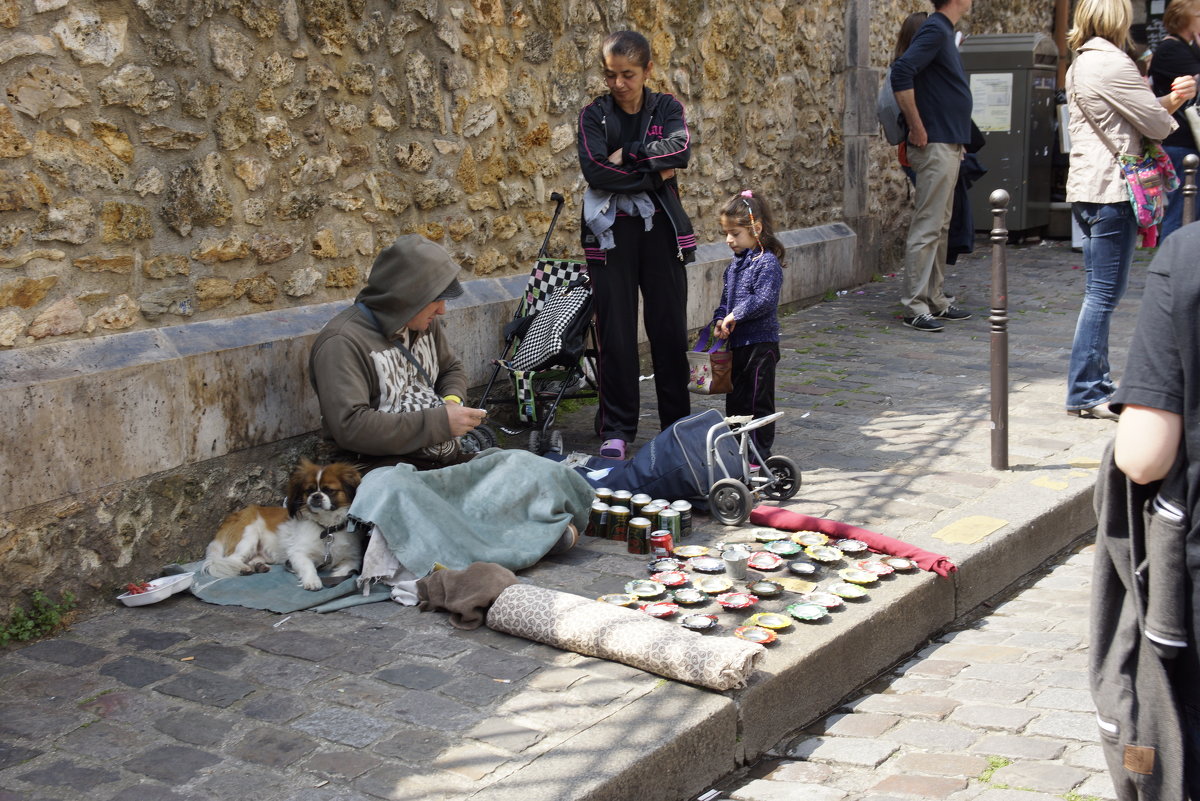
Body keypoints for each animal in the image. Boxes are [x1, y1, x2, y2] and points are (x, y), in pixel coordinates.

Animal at [204, 460, 362, 592]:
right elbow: (308, 566)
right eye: (309, 490)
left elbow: (350, 566)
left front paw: (337, 574)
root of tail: (236, 515)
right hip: (248, 537)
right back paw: (243, 568)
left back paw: (258, 566)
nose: (316, 496)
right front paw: (312, 581)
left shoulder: (354, 556)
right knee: (232, 559)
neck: (327, 528)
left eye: (329, 490)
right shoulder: (297, 553)